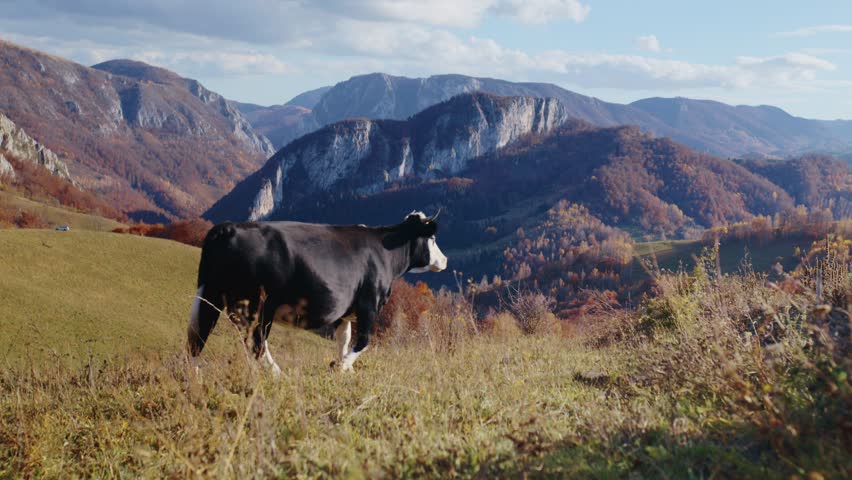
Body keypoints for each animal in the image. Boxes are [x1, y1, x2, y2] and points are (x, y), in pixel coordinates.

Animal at [186, 211, 447, 374]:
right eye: (433, 238)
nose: (444, 260)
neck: (386, 253)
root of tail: (228, 227)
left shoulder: (346, 312)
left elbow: (344, 339)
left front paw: (343, 367)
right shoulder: (369, 304)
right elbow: (364, 340)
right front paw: (341, 367)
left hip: (213, 294)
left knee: (199, 337)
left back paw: (194, 374)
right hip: (257, 305)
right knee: (256, 343)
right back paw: (277, 374)